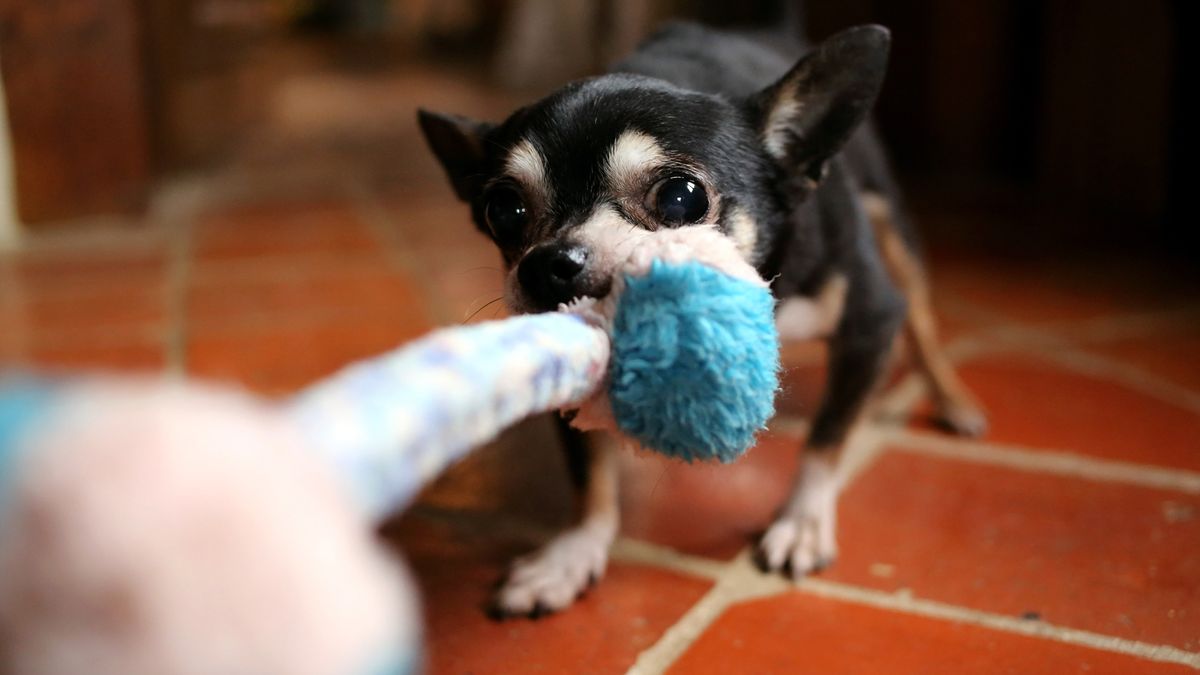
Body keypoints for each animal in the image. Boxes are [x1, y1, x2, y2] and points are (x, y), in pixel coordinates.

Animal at [420, 18, 984, 614]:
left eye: (680, 197)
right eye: (502, 211)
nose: (548, 263)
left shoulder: (871, 320)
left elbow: (827, 438)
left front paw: (802, 521)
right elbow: (589, 473)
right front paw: (573, 552)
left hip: (892, 227)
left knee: (922, 321)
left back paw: (953, 401)